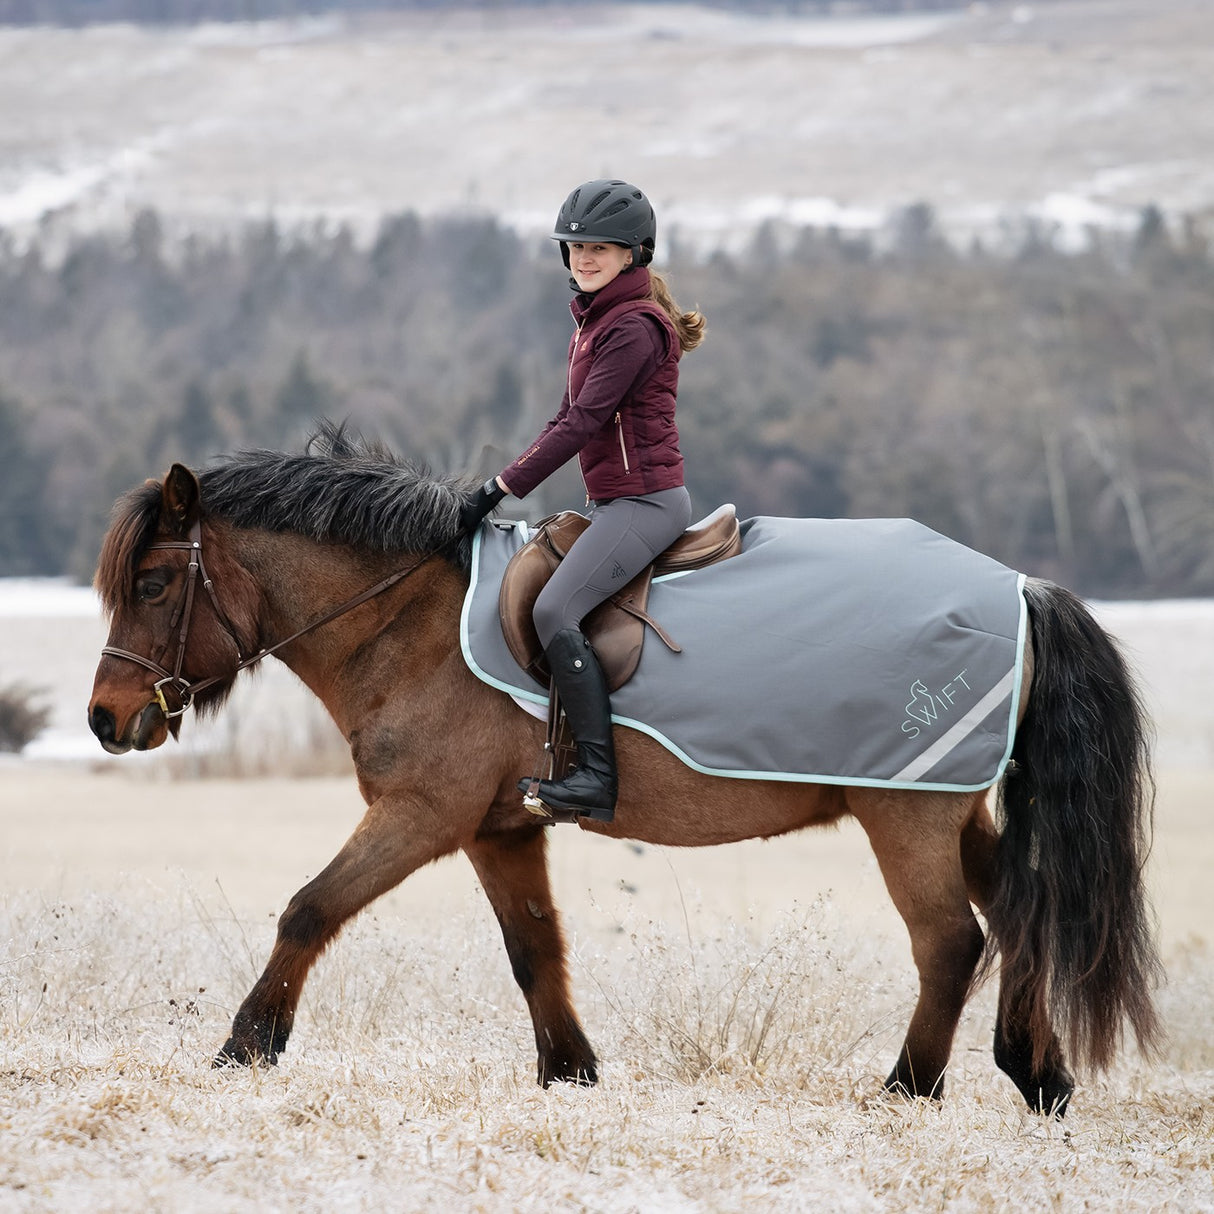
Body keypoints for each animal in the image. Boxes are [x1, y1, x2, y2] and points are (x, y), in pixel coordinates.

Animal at [87, 426, 1161, 1117]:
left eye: (156, 583)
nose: (105, 719)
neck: (410, 619)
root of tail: (1019, 586)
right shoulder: (498, 828)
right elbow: (534, 950)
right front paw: (569, 1072)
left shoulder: (421, 814)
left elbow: (308, 909)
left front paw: (246, 1046)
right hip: (949, 811)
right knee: (1020, 909)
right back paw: (1037, 1073)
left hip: (907, 814)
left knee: (951, 942)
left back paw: (909, 1088)